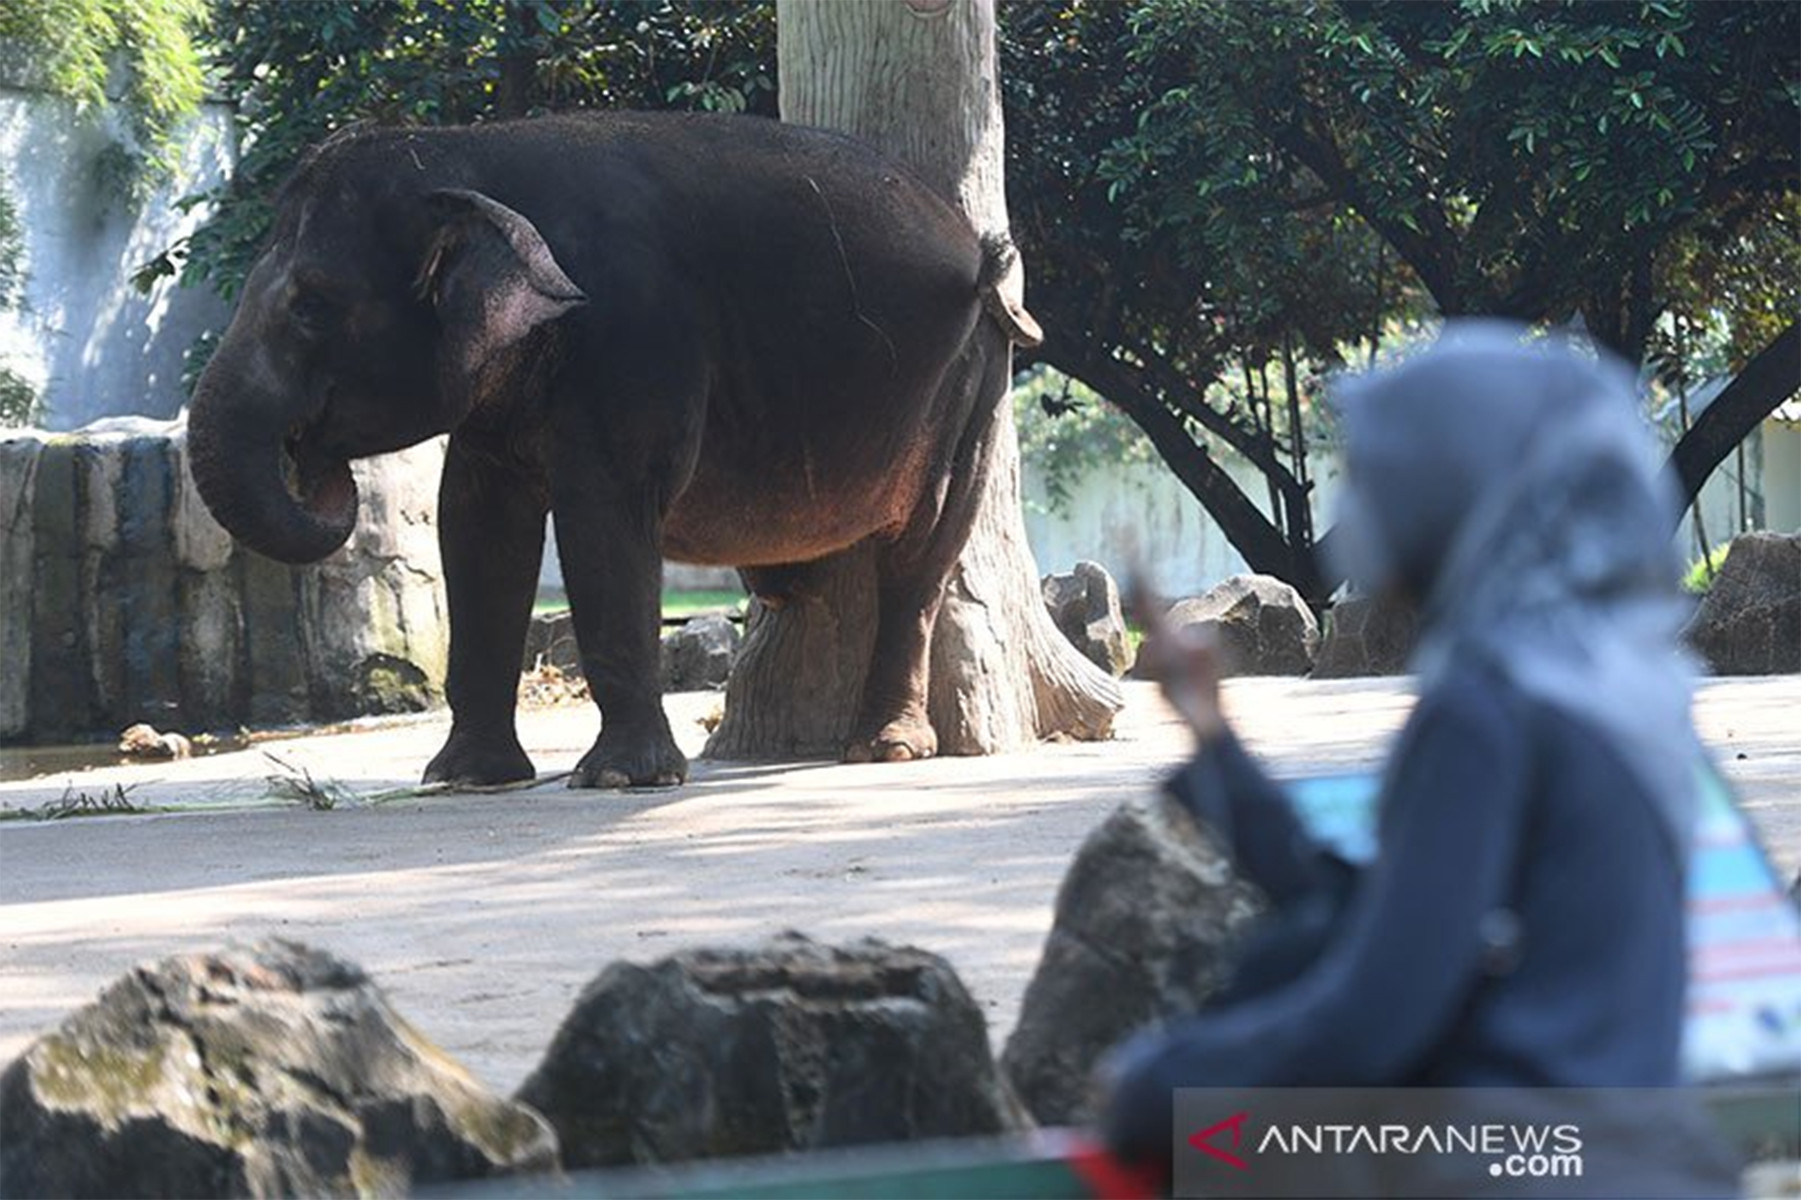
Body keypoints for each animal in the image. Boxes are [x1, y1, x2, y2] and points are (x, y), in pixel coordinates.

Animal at [184, 109, 1044, 785]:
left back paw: (884, 749)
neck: (465, 151)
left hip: (975, 373)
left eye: (311, 306)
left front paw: (620, 780)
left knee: (923, 551)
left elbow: (602, 516)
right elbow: (476, 526)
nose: (314, 460)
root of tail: (977, 242)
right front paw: (463, 778)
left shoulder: (633, 333)